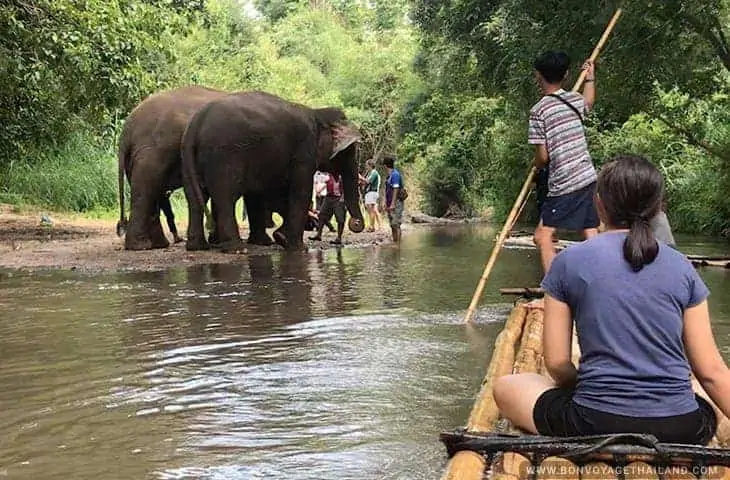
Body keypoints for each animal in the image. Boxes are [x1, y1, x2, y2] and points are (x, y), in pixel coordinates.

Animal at [116, 86, 228, 249]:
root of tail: (127, 130)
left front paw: (216, 240)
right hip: (152, 154)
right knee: (146, 191)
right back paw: (142, 245)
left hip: (138, 158)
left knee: (151, 192)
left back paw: (158, 244)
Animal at [182, 89, 364, 251]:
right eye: (350, 151)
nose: (355, 223)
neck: (318, 112)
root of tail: (196, 122)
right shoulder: (304, 152)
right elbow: (300, 193)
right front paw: (297, 247)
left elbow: (263, 195)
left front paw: (276, 239)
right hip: (224, 156)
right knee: (225, 197)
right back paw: (237, 249)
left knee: (195, 197)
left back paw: (197, 247)